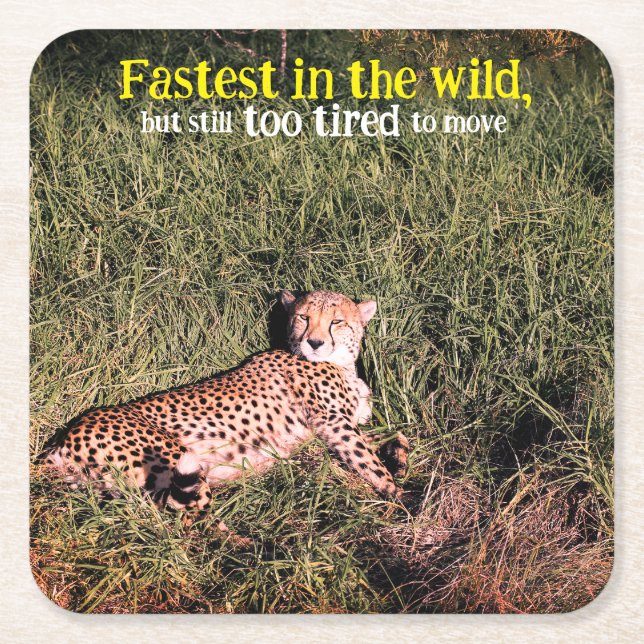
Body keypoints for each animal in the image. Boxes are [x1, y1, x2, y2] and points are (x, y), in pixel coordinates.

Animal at [41, 289, 409, 512]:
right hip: (173, 458)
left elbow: (390, 436)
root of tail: (63, 439)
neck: (341, 364)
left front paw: (400, 457)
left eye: (337, 321)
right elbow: (369, 461)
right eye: (304, 318)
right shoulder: (334, 422)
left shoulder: (335, 428)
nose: (315, 343)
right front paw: (399, 498)